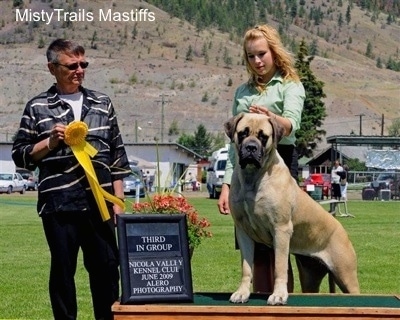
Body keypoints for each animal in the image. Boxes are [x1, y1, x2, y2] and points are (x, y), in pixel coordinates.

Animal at [225, 112, 360, 304]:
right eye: (243, 133)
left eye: (263, 136)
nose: (251, 148)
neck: (253, 177)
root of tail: (341, 229)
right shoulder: (243, 232)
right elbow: (246, 267)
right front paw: (242, 292)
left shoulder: (280, 230)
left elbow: (280, 268)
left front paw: (279, 295)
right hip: (310, 275)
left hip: (346, 275)